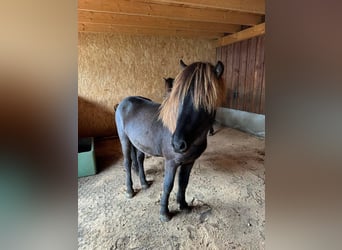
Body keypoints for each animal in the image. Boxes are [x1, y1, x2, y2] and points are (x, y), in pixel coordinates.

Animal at [115, 60, 224, 221]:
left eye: (205, 101)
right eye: (180, 98)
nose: (178, 144)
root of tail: (123, 102)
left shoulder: (189, 162)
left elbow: (183, 182)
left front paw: (183, 205)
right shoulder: (171, 162)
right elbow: (168, 185)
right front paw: (164, 213)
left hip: (139, 144)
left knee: (139, 160)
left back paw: (144, 183)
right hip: (124, 140)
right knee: (127, 163)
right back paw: (130, 190)